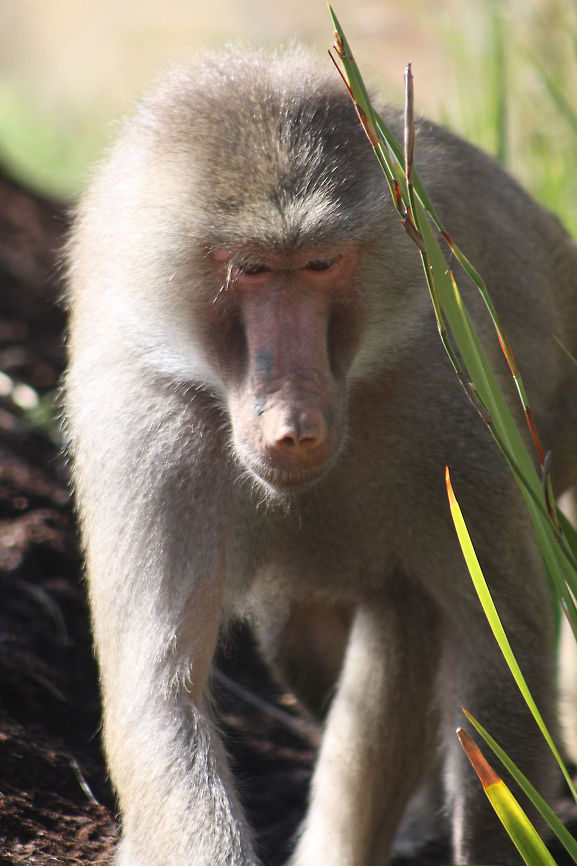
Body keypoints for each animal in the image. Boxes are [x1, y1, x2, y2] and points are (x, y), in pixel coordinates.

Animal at [64, 45, 577, 866]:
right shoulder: (141, 425)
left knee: (407, 613)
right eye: (250, 269)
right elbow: (159, 696)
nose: (295, 424)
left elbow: (500, 645)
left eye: (320, 264)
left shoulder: (448, 394)